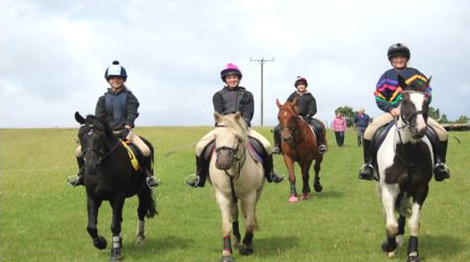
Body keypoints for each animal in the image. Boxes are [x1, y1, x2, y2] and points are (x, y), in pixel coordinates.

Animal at [73, 111, 157, 260]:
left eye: (101, 135)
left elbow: (115, 225)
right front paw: (101, 243)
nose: (91, 165)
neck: (102, 169)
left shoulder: (118, 197)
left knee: (140, 212)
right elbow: (91, 227)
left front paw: (115, 252)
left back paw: (139, 239)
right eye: (80, 135)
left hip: (144, 190)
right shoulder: (92, 197)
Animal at [208, 111, 264, 262]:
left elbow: (250, 222)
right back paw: (236, 241)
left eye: (237, 137)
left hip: (257, 193)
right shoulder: (223, 196)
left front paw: (248, 246)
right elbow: (226, 226)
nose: (222, 162)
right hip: (232, 197)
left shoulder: (250, 196)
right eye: (215, 136)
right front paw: (227, 253)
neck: (233, 170)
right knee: (234, 214)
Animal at [376, 74, 436, 260]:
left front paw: (412, 253)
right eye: (405, 101)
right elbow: (390, 225)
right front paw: (388, 245)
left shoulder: (420, 188)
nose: (420, 129)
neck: (407, 153)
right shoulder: (389, 187)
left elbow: (414, 223)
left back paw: (400, 238)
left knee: (402, 211)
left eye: (427, 101)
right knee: (387, 214)